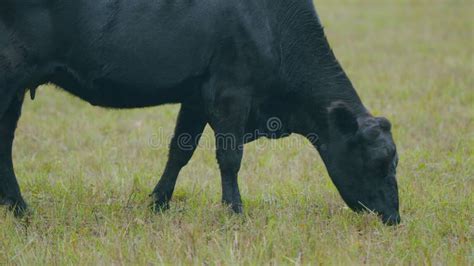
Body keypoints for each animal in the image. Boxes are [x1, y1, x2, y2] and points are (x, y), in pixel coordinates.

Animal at [0, 0, 400, 224]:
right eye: (379, 161)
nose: (394, 217)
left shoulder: (195, 94)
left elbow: (181, 150)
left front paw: (157, 204)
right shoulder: (231, 91)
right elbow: (230, 157)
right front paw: (234, 212)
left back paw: (16, 208)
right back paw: (19, 207)